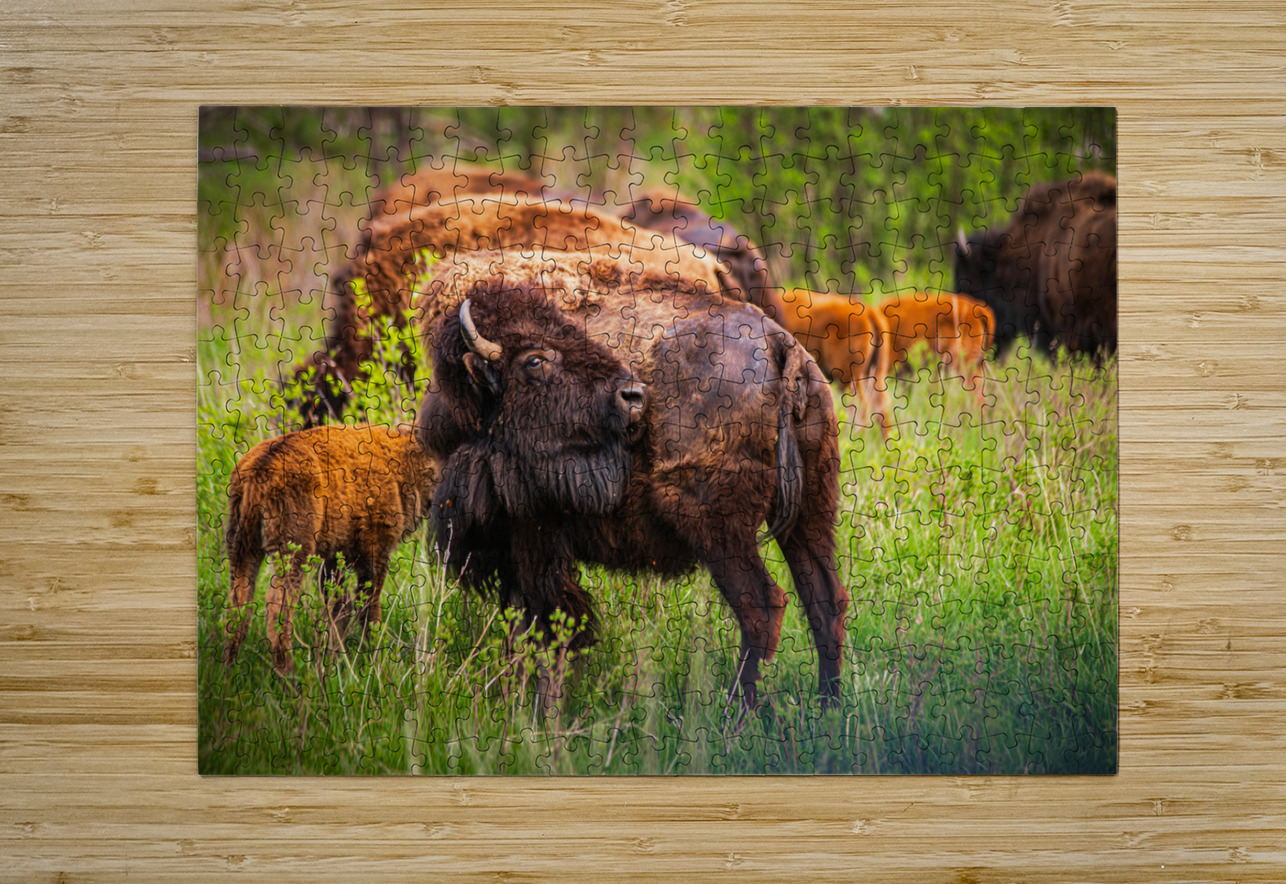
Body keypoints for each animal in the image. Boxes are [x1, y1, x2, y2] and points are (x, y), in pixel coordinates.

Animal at [415, 258, 848, 710]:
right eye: (534, 360)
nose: (633, 396)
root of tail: (782, 345)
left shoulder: (531, 536)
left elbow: (546, 626)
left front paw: (537, 708)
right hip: (811, 510)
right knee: (825, 601)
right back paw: (829, 707)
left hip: (716, 527)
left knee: (762, 609)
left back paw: (736, 713)